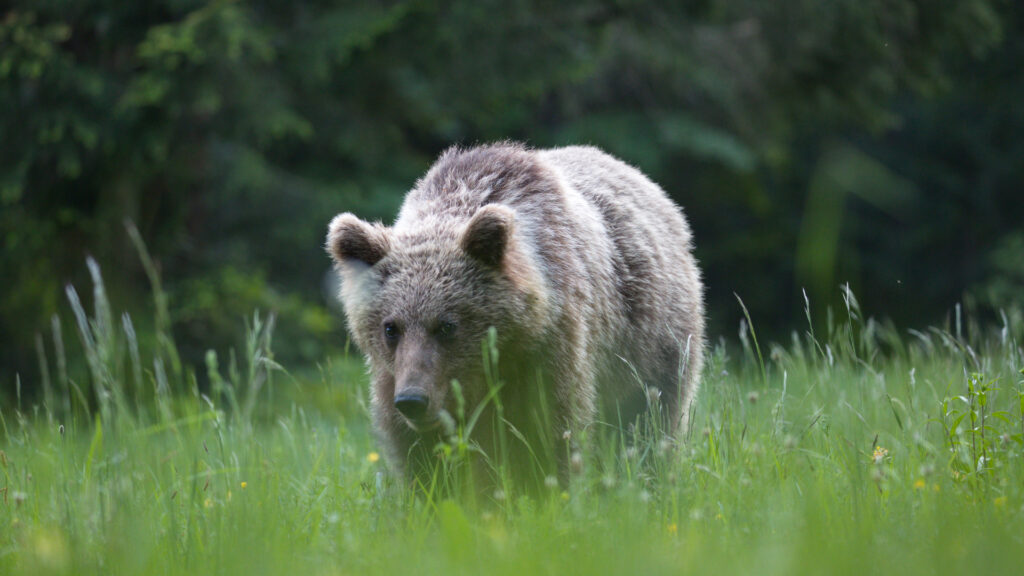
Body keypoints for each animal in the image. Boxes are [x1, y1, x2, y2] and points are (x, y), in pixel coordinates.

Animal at [327, 141, 704, 481]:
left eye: (447, 325)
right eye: (391, 327)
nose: (412, 400)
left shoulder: (550, 347)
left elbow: (550, 428)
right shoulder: (391, 374)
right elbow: (419, 451)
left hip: (651, 341)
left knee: (651, 418)